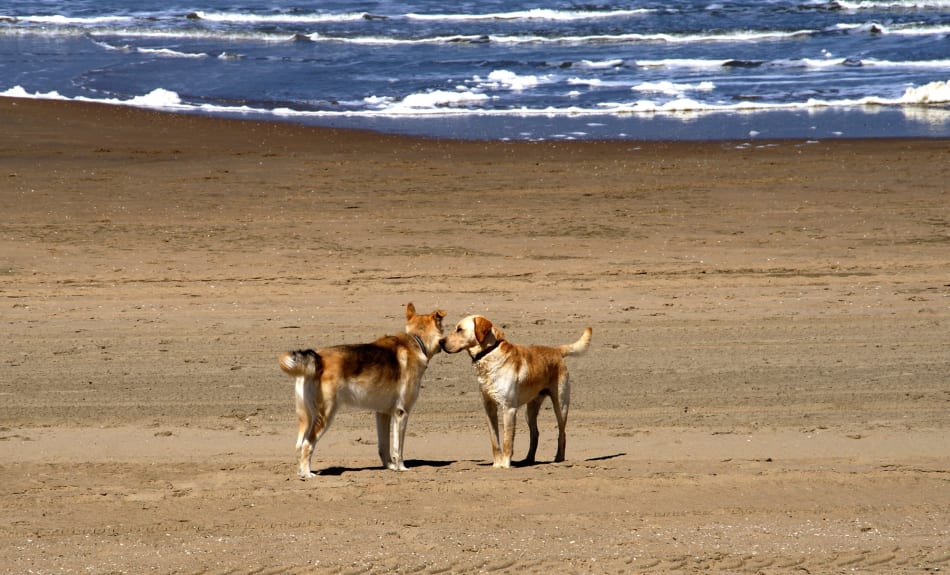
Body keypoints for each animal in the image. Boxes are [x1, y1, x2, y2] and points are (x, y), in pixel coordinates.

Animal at [280, 304, 448, 480]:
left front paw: (390, 467)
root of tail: (318, 358)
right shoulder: (402, 413)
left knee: (299, 445)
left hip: (305, 418)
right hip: (324, 416)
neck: (416, 339)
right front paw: (401, 468)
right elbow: (398, 449)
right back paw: (307, 473)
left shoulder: (383, 413)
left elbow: (384, 446)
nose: (445, 344)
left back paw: (301, 472)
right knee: (308, 444)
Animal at [442, 318, 592, 470]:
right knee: (535, 434)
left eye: (459, 329)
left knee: (562, 433)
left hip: (560, 406)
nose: (441, 342)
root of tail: (556, 350)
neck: (489, 354)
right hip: (529, 411)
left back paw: (559, 458)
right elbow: (494, 440)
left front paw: (505, 464)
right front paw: (496, 464)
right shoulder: (489, 408)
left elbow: (507, 440)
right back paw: (528, 459)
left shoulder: (509, 409)